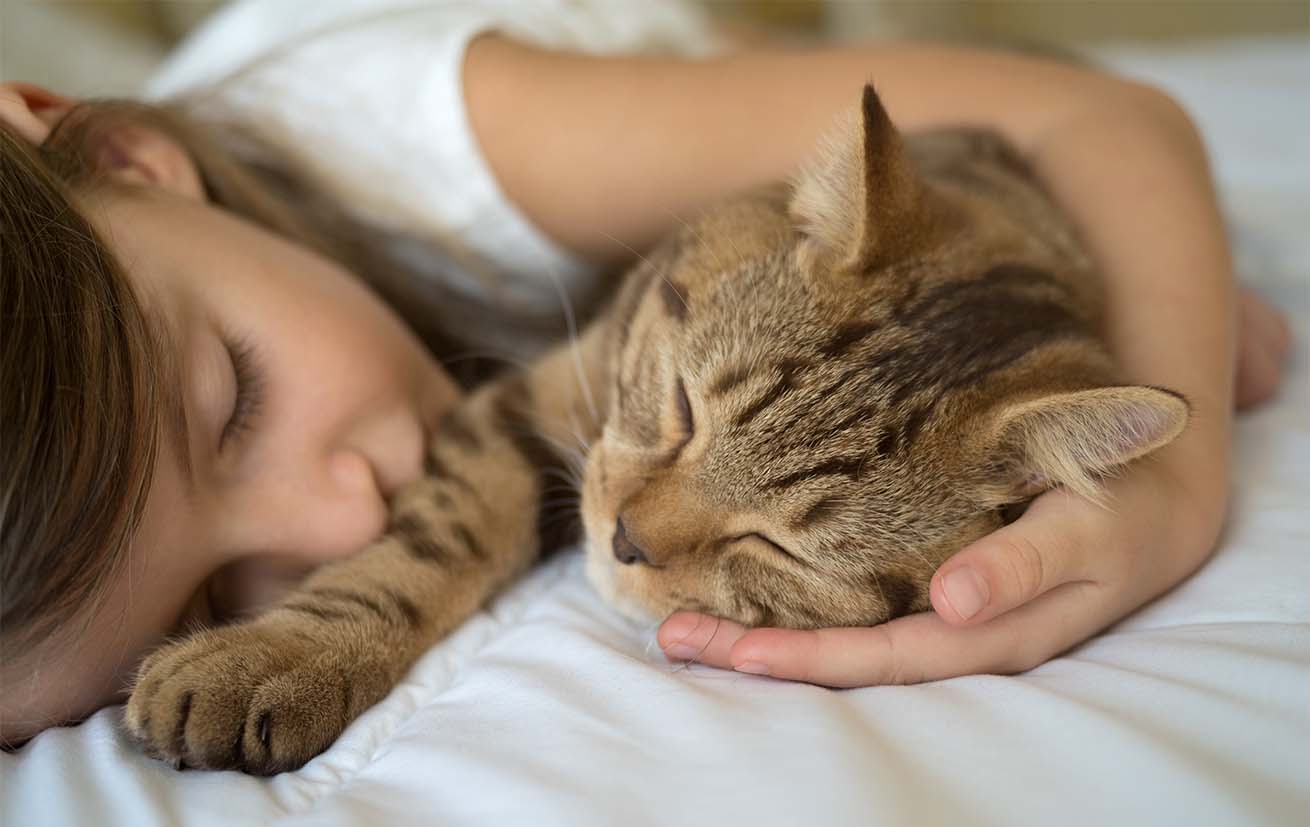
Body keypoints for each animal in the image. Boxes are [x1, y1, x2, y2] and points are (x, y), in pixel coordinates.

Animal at [120, 89, 1189, 775]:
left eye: (779, 547)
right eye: (681, 406)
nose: (624, 538)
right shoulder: (533, 397)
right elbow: (431, 545)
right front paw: (280, 657)